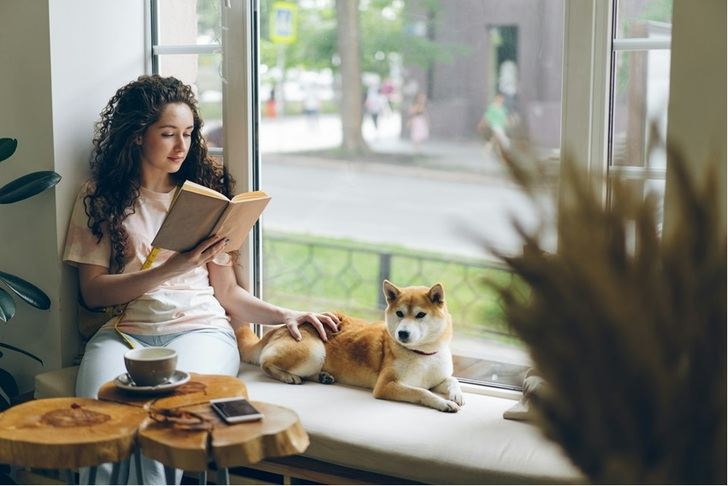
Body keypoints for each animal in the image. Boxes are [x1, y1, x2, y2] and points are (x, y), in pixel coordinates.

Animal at [239, 280, 466, 412]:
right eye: (400, 313)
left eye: (420, 315)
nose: (402, 333)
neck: (422, 354)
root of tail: (279, 328)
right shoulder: (386, 385)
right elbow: (421, 392)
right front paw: (444, 403)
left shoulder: (437, 378)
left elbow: (451, 380)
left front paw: (456, 395)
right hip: (314, 352)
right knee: (265, 363)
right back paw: (288, 376)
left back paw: (323, 377)